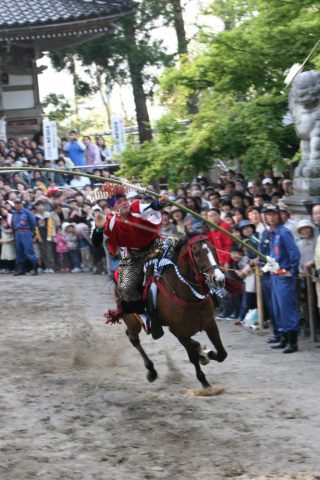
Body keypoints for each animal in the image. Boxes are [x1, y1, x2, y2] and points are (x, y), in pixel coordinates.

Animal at [112, 232, 228, 390]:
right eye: (197, 253)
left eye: (214, 249)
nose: (219, 279)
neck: (188, 295)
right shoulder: (179, 332)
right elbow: (192, 357)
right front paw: (204, 381)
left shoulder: (210, 324)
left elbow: (222, 354)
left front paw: (206, 354)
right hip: (131, 318)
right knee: (133, 338)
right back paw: (151, 371)